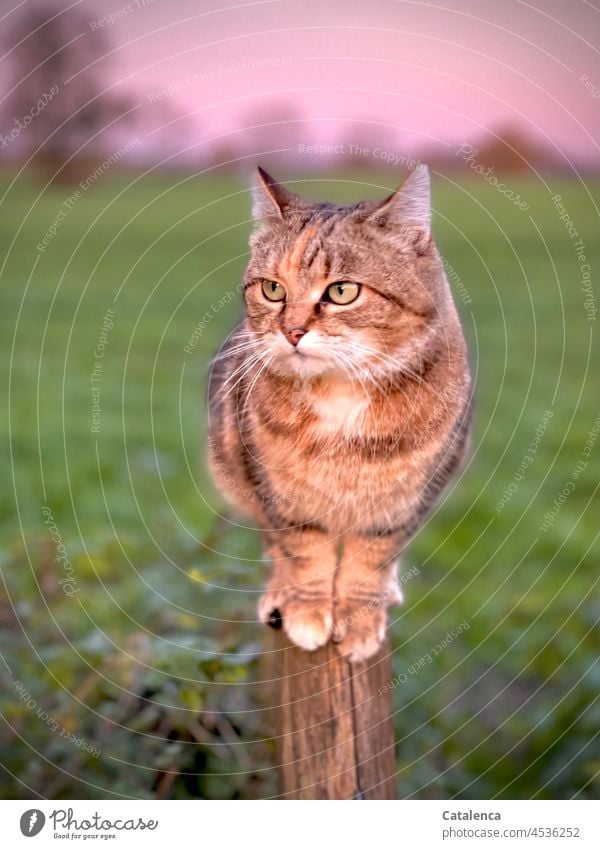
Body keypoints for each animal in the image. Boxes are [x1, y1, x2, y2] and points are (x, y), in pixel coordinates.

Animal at [209, 162, 472, 660]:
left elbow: (372, 556)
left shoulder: (407, 496)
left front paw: (359, 616)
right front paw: (308, 609)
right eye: (272, 289)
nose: (292, 331)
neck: (340, 395)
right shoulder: (275, 487)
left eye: (343, 291)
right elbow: (301, 547)